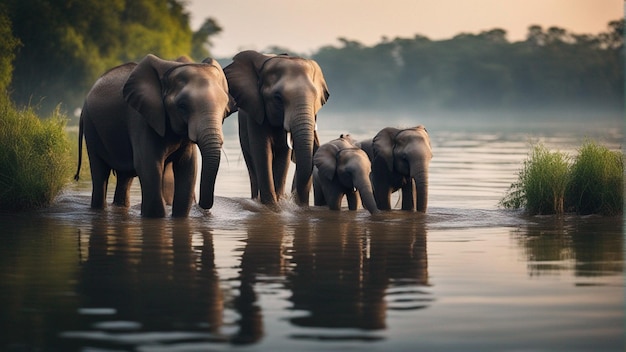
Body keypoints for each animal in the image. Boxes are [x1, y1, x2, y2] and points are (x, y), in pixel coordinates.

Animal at [75, 54, 234, 217]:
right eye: (182, 106)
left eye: (225, 107)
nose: (203, 206)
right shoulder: (141, 118)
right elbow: (148, 166)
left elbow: (188, 167)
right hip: (91, 128)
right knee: (100, 174)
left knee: (124, 178)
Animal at [224, 51, 332, 208]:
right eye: (278, 98)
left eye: (316, 97)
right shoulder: (256, 111)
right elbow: (263, 151)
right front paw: (271, 206)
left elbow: (283, 154)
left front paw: (278, 203)